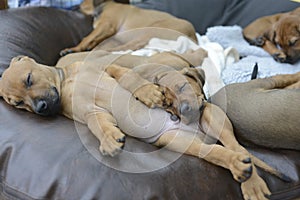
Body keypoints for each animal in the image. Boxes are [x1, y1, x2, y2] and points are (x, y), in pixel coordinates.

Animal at [0, 49, 288, 198]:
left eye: (28, 79)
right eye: (18, 104)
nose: (41, 108)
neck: (66, 78)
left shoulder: (110, 71)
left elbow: (128, 77)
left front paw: (149, 93)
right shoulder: (89, 112)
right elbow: (98, 125)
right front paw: (109, 140)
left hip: (213, 117)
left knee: (237, 146)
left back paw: (252, 183)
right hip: (180, 143)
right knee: (217, 152)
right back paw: (239, 168)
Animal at [59, 0, 198, 55]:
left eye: (83, 1)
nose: (73, 7)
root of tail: (193, 39)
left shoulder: (106, 26)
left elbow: (87, 38)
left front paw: (73, 49)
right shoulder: (105, 31)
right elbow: (93, 39)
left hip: (151, 30)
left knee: (130, 46)